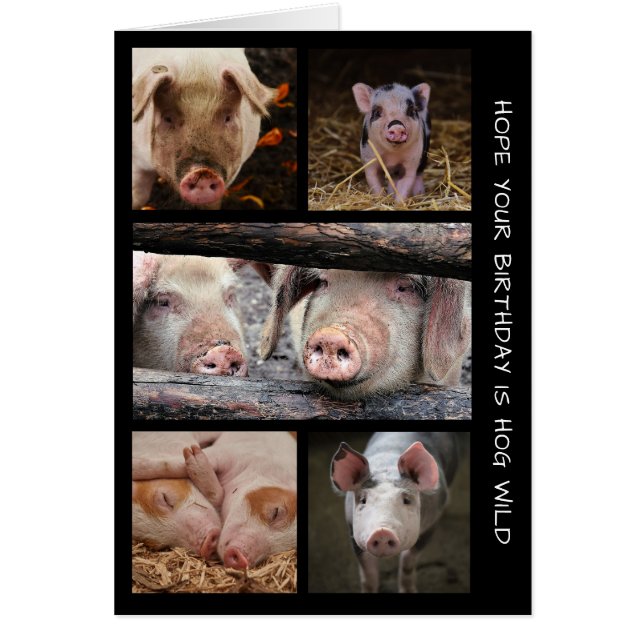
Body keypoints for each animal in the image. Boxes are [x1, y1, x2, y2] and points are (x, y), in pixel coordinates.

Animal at [132, 48, 276, 209]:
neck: (197, 67)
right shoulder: (137, 156)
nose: (203, 172)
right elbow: (139, 195)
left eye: (228, 117)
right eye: (167, 118)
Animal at [331, 432, 461, 593]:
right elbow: (368, 572)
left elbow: (408, 562)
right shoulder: (352, 529)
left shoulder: (431, 524)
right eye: (363, 500)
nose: (382, 532)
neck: (387, 467)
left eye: (406, 500)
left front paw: (409, 591)